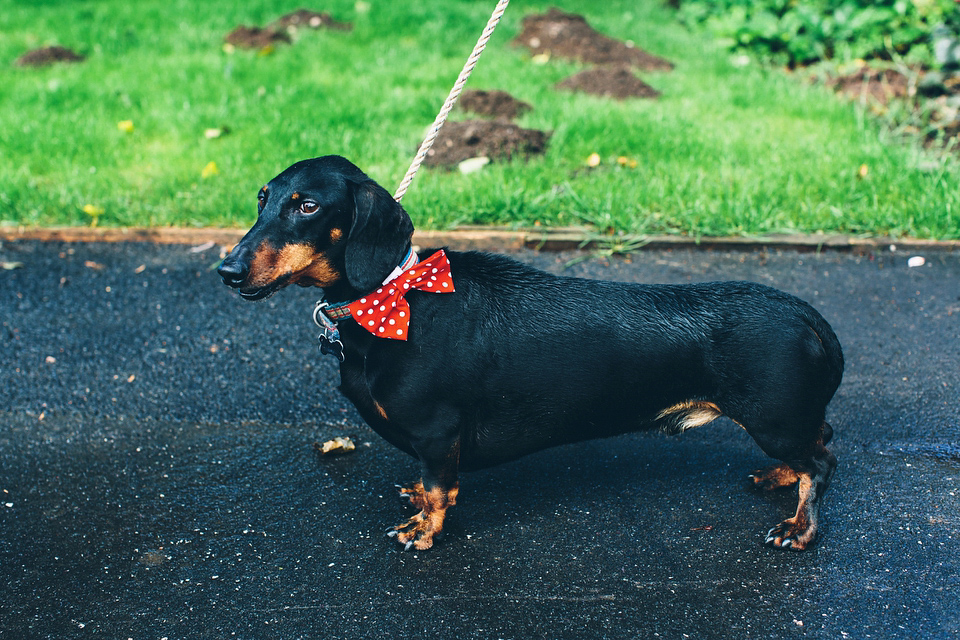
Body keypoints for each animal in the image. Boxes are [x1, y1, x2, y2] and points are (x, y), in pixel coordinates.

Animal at [218, 155, 840, 552]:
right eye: (262, 199)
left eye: (306, 207)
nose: (227, 270)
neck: (390, 300)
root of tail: (806, 314)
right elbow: (428, 481)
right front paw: (415, 498)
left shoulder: (438, 431)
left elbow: (441, 488)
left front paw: (424, 529)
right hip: (785, 421)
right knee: (818, 443)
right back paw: (780, 479)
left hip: (772, 419)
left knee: (823, 463)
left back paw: (799, 529)